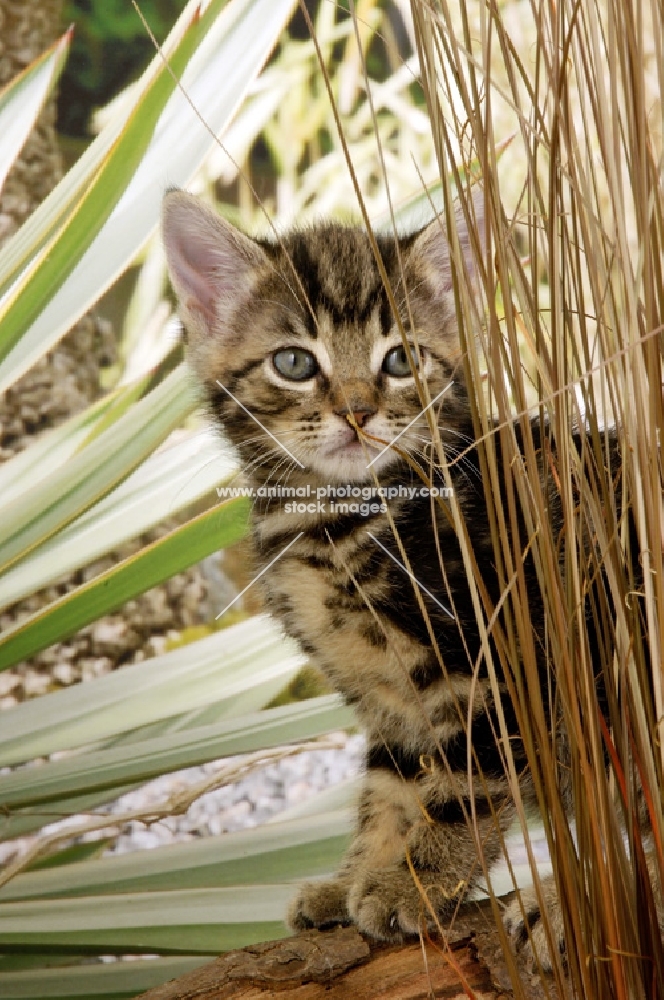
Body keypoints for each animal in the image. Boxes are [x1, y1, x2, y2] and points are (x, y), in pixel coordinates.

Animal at [163, 188, 644, 968]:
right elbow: (390, 789)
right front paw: (359, 875)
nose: (357, 411)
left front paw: (415, 881)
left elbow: (465, 787)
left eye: (401, 359)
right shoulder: (388, 697)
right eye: (294, 362)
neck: (334, 518)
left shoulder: (494, 660)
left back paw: (555, 908)